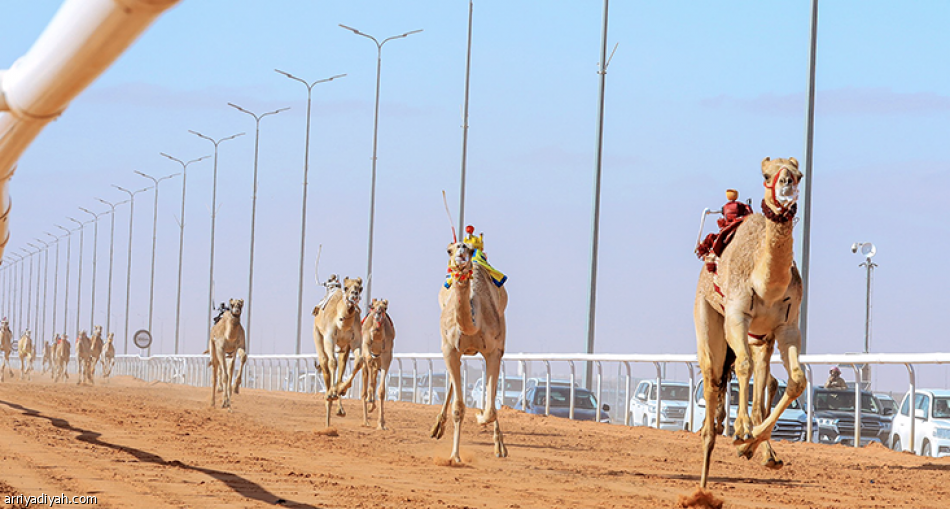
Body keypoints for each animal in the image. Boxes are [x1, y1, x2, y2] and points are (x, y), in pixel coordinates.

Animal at [316, 276, 368, 426]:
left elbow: (359, 361)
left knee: (341, 367)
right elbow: (332, 362)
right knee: (325, 363)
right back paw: (328, 399)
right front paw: (331, 393)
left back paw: (339, 406)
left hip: (344, 347)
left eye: (360, 288)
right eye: (346, 287)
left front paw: (342, 389)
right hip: (318, 334)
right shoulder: (329, 338)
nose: (354, 295)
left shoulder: (355, 341)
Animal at [362, 298, 396, 428]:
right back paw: (366, 420)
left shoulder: (387, 355)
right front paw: (370, 398)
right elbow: (369, 359)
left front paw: (381, 424)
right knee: (364, 390)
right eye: (373, 306)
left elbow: (381, 391)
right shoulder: (365, 345)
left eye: (385, 308)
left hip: (379, 361)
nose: (377, 313)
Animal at [430, 240, 506, 462]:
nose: (462, 248)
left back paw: (500, 445)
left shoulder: (494, 351)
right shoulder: (449, 350)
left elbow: (490, 409)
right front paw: (454, 456)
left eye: (470, 250)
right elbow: (458, 407)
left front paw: (480, 416)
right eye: (449, 250)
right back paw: (437, 427)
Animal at [696, 156, 808, 488]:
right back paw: (704, 472)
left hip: (762, 337)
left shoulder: (788, 327)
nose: (787, 184)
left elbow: (796, 381)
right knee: (714, 376)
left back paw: (761, 449)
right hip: (707, 314)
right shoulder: (736, 315)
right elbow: (742, 367)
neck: (767, 285)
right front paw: (742, 431)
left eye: (799, 174)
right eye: (766, 175)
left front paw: (749, 443)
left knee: (762, 379)